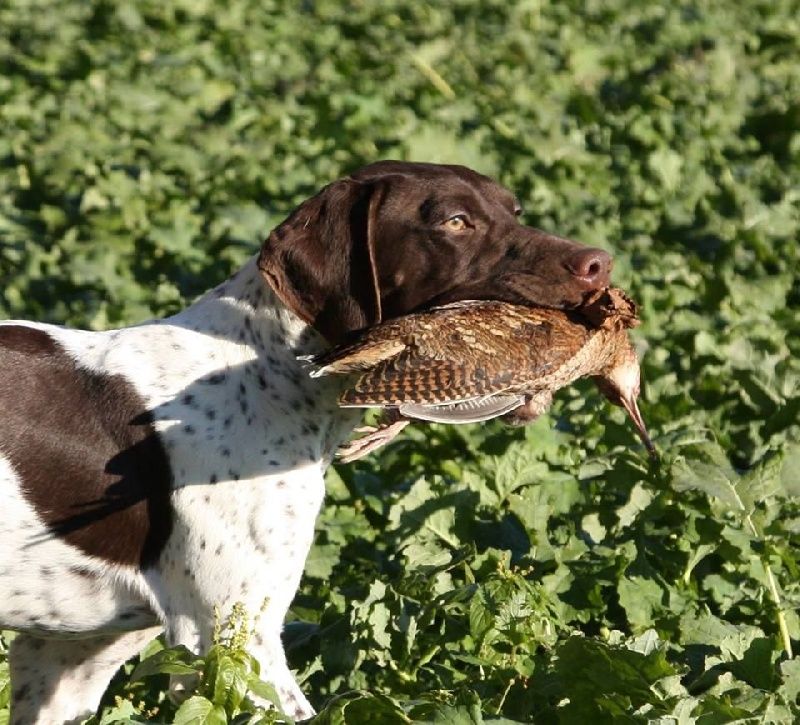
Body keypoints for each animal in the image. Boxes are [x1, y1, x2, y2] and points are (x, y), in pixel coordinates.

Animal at [1, 158, 612, 720]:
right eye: (456, 222)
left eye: (515, 212)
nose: (600, 265)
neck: (264, 373)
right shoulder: (232, 640)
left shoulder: (66, 658)